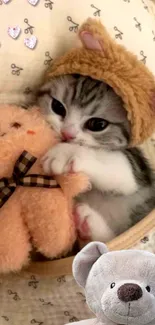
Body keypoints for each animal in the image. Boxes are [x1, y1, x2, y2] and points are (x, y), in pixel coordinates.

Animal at [37, 73, 155, 240]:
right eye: (58, 107)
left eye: (98, 124)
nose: (67, 134)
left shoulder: (138, 170)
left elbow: (119, 169)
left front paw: (66, 152)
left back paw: (89, 221)